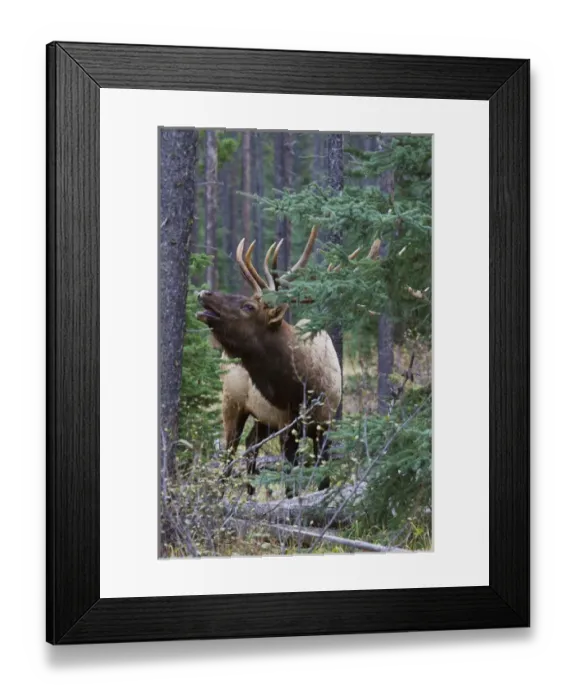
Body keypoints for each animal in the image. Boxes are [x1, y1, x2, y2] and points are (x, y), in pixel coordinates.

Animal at [196, 226, 381, 495]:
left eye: (249, 306)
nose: (204, 292)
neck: (303, 387)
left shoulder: (325, 424)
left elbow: (322, 477)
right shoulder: (288, 426)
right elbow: (291, 480)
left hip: (262, 418)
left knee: (250, 445)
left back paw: (250, 495)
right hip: (232, 404)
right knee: (229, 454)